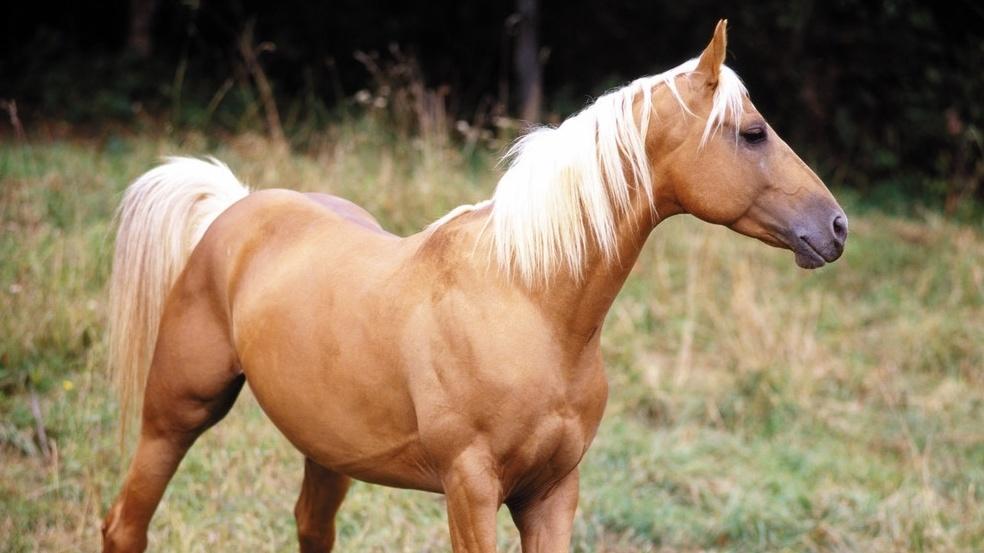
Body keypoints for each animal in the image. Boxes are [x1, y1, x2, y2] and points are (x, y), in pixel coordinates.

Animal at [104, 19, 848, 548]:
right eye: (752, 133)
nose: (836, 226)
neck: (530, 304)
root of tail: (234, 208)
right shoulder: (471, 487)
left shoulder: (553, 493)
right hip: (176, 414)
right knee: (125, 524)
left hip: (325, 451)